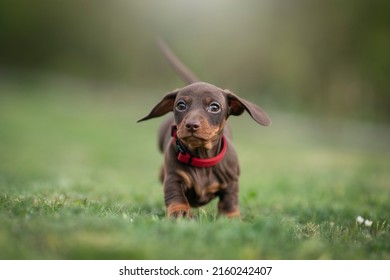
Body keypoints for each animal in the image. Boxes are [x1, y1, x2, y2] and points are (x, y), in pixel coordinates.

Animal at [138, 41, 272, 219]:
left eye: (214, 107)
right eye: (181, 105)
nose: (191, 125)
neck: (202, 159)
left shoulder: (231, 182)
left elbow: (230, 200)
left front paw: (231, 217)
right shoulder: (174, 178)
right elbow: (175, 195)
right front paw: (179, 211)